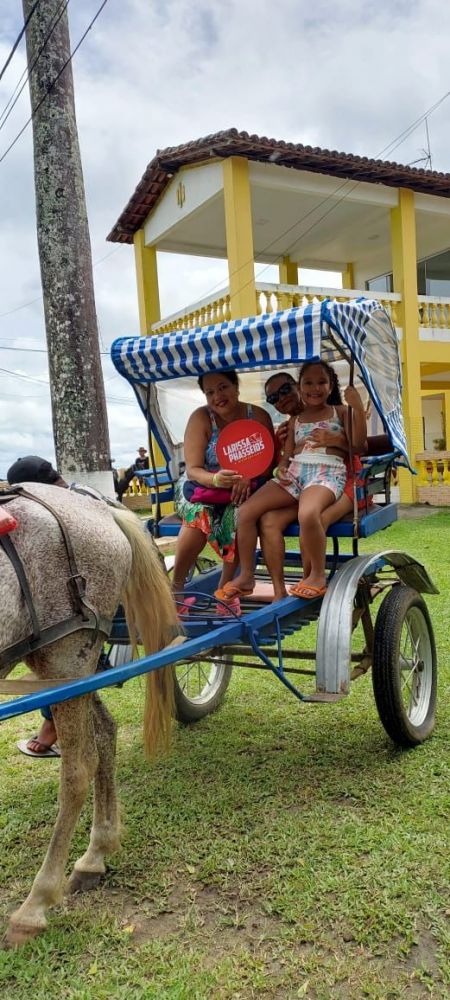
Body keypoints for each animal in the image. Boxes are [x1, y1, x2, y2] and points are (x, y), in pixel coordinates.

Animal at [0, 484, 178, 944]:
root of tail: (97, 506)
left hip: (66, 656)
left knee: (79, 768)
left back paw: (36, 903)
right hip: (65, 667)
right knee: (105, 734)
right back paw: (95, 853)